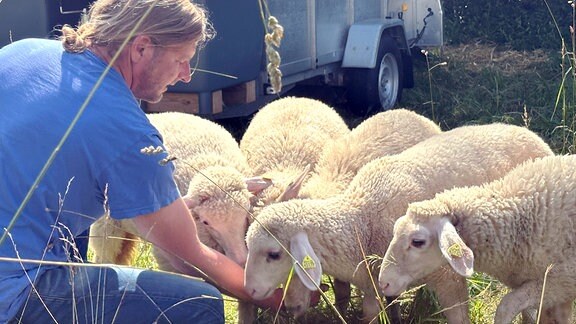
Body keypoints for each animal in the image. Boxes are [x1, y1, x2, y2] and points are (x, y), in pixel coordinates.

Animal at [243, 123, 552, 322]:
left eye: (274, 254)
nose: (251, 291)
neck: (360, 219)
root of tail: (526, 131)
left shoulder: (449, 278)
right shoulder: (372, 280)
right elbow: (371, 312)